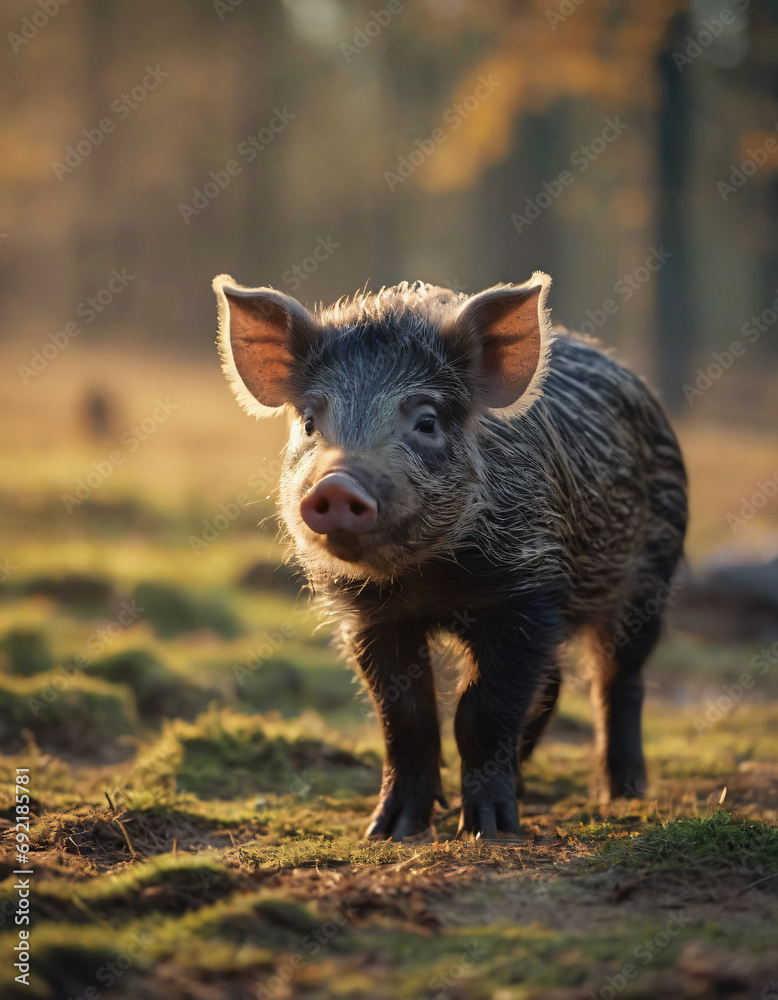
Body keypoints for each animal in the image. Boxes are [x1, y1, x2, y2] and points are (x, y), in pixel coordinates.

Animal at [213, 273, 687, 840]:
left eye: (426, 420)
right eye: (309, 420)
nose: (337, 484)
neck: (426, 580)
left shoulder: (528, 594)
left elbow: (480, 709)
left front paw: (487, 831)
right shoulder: (370, 617)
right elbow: (406, 717)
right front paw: (388, 832)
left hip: (652, 577)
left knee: (619, 679)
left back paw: (620, 795)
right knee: (552, 682)